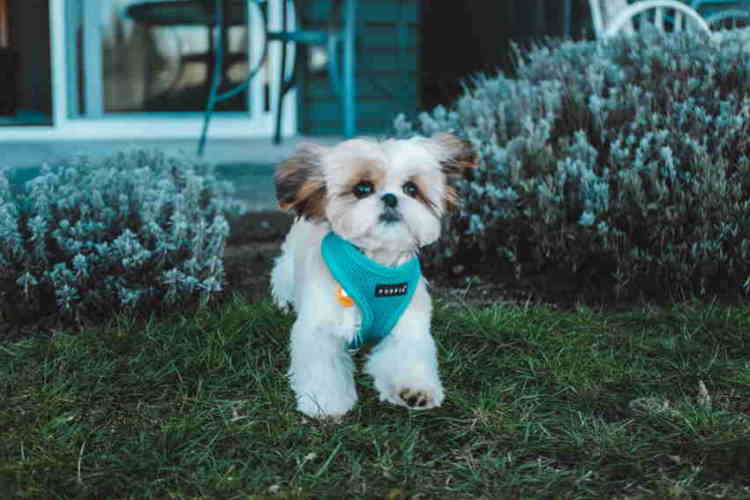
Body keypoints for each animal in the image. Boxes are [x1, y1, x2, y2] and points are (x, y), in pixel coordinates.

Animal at [274, 133, 478, 418]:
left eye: (411, 189)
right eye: (362, 188)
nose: (391, 198)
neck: (376, 267)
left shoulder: (409, 325)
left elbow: (407, 355)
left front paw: (414, 390)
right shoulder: (320, 327)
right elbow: (323, 366)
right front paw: (324, 402)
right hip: (286, 269)